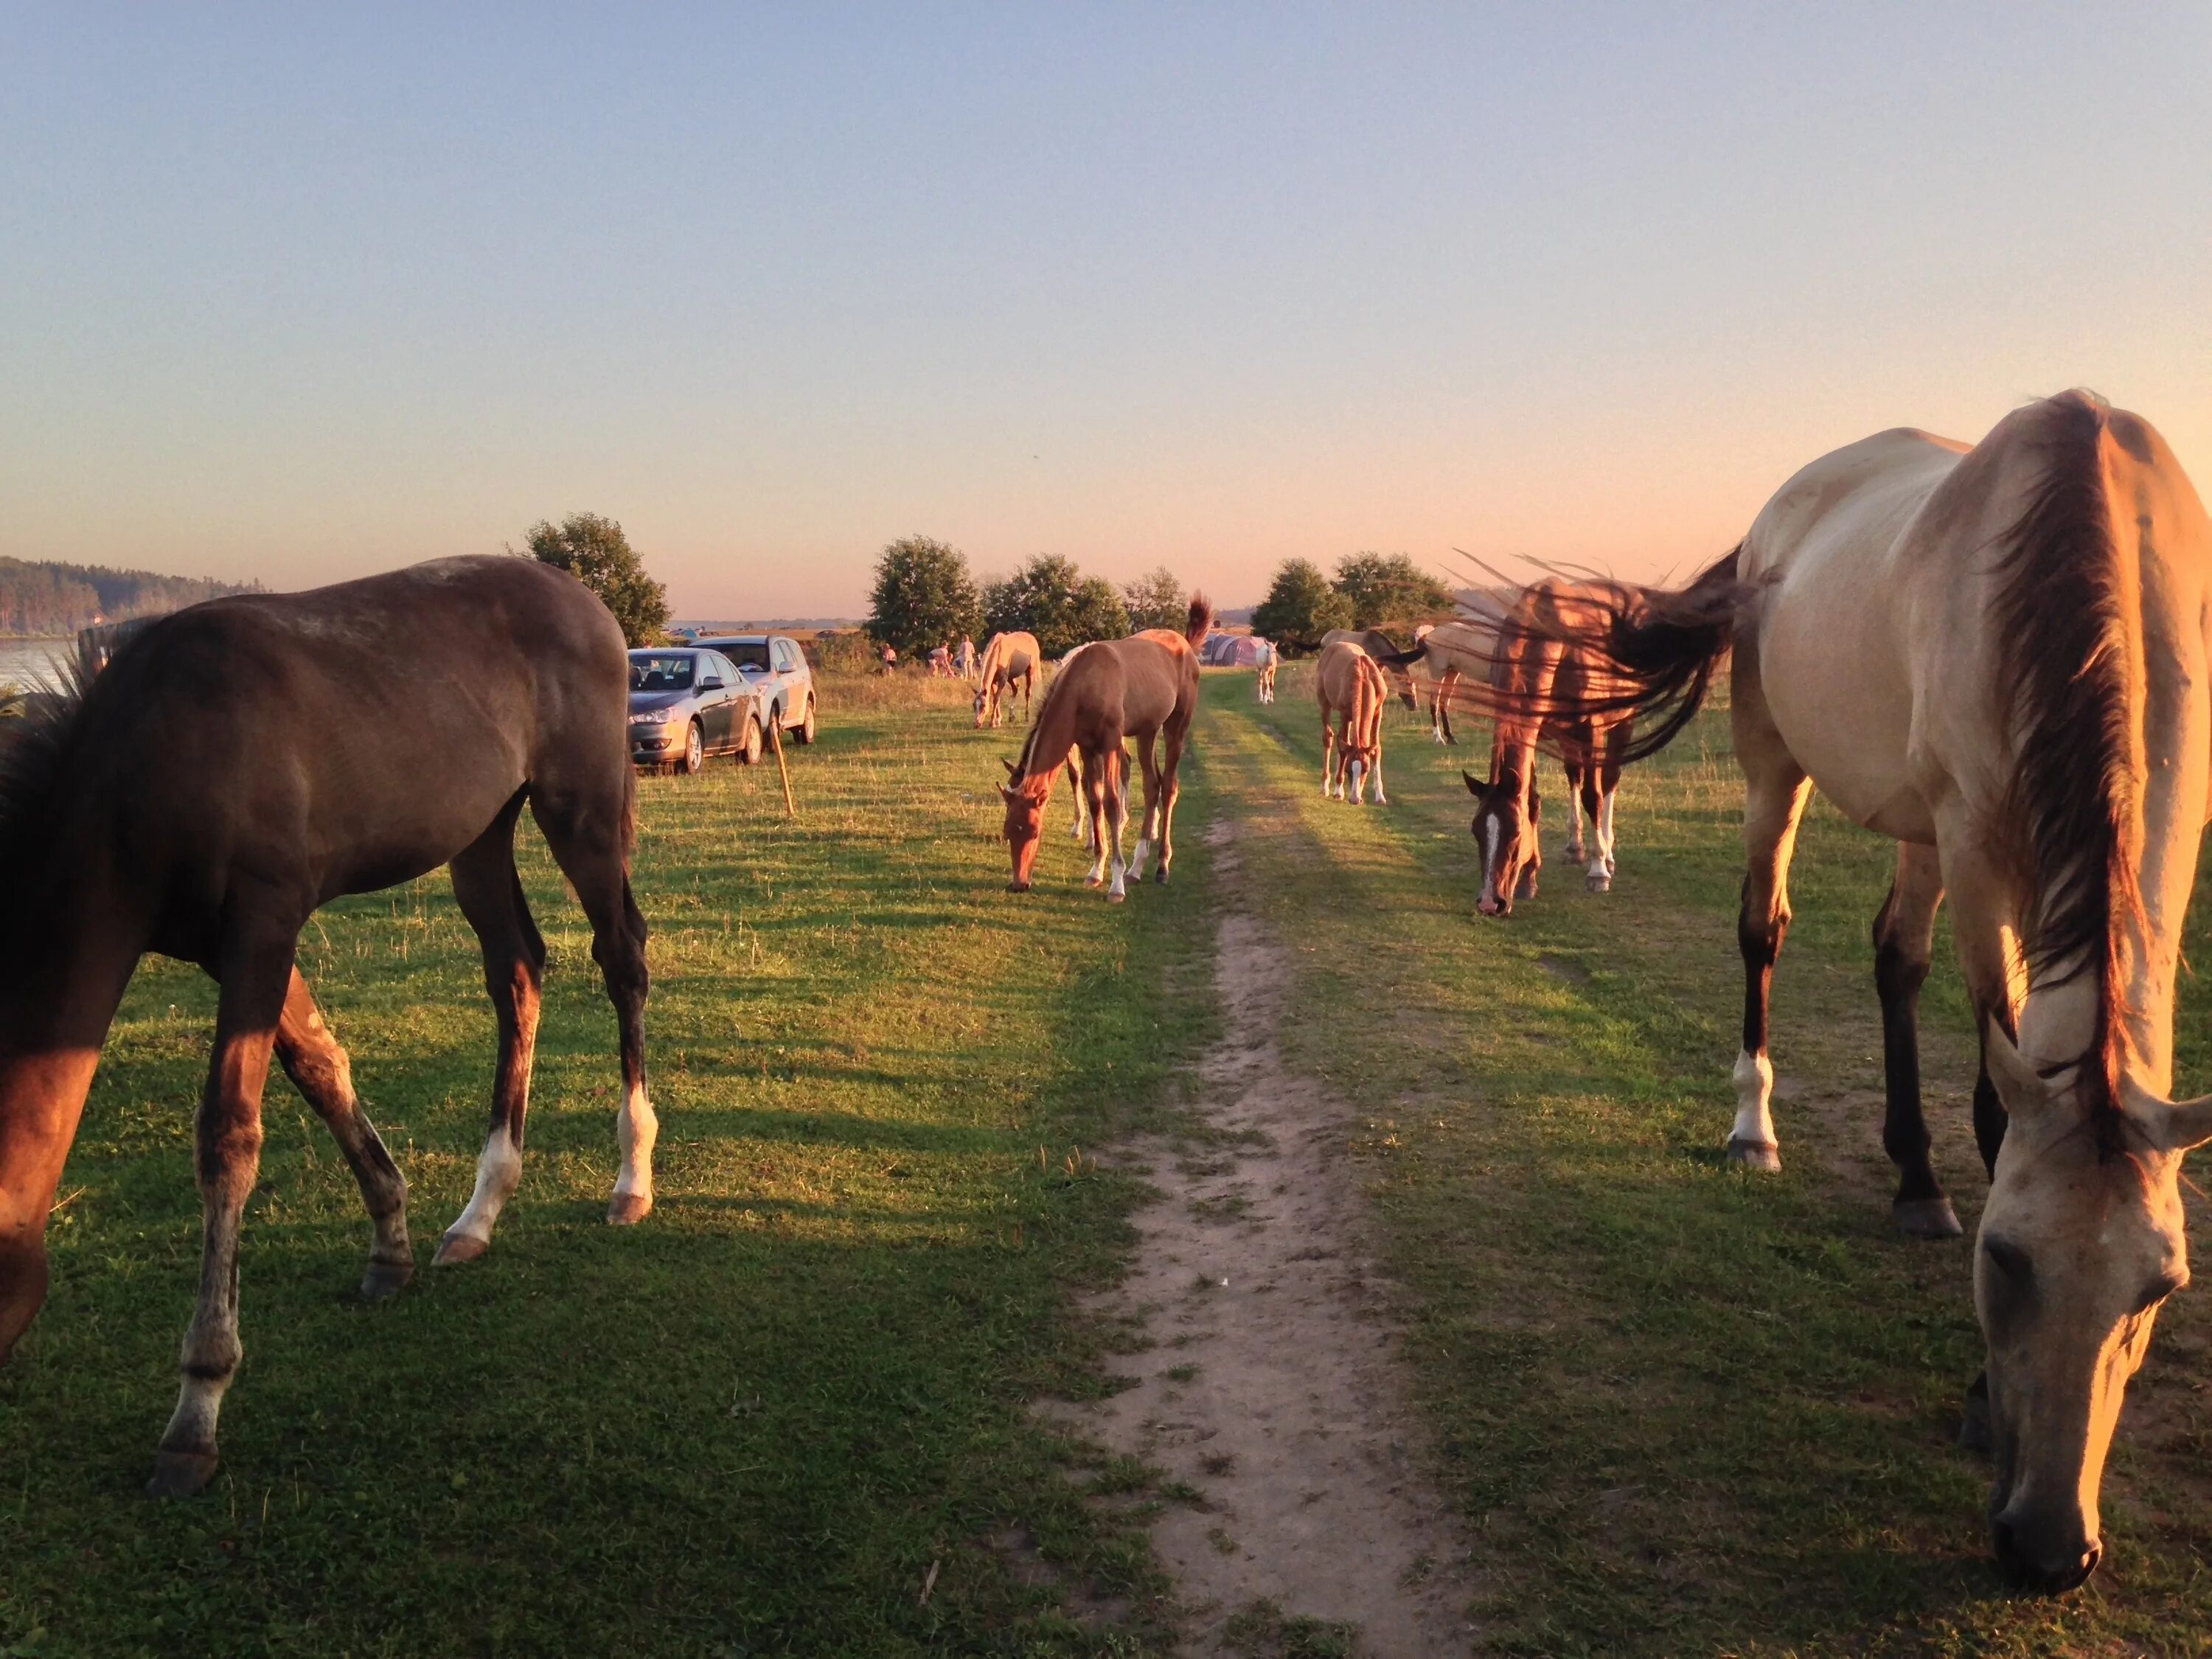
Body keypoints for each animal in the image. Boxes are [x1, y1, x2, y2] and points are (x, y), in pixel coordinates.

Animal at [0, 560, 655, 1504]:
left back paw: (633, 1176)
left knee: (622, 959)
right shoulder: (225, 948)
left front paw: (196, 1412)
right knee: (518, 972)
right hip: (480, 836)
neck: (151, 759)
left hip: (582, 814)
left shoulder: (262, 927)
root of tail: (584, 598)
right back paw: (480, 1210)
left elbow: (230, 1136)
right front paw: (391, 1246)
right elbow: (320, 1069)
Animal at [973, 628, 1040, 726]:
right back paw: (1011, 716)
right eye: (974, 705)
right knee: (1015, 689)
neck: (998, 651)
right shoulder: (994, 681)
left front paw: (992, 722)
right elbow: (997, 699)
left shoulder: (1002, 680)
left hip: (1029, 672)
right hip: (1011, 677)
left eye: (984, 706)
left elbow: (996, 699)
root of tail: (1032, 637)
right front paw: (998, 719)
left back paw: (1027, 717)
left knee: (1027, 692)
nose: (976, 724)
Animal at [1004, 606, 1212, 902]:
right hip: (1147, 732)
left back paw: (1161, 867)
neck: (1087, 684)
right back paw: (1136, 868)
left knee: (1169, 788)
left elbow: (1113, 804)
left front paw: (1116, 884)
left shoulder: (1111, 742)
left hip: (1176, 728)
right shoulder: (1087, 747)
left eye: (1035, 833)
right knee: (1152, 786)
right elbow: (1095, 799)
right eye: (1008, 833)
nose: (1019, 884)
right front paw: (1096, 871)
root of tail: (1185, 644)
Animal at [1318, 641, 1389, 810]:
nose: (1356, 799)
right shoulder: (1345, 714)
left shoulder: (1378, 711)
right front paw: (1339, 791)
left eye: (1366, 769)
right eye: (1348, 769)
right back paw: (1325, 787)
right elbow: (1344, 749)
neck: (1364, 676)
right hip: (1325, 703)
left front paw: (1380, 796)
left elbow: (1376, 748)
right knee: (1329, 738)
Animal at [1486, 394, 2212, 1601]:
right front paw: (1980, 1395)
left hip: (1917, 821)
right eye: (2005, 1259)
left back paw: (1913, 1178)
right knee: (1762, 930)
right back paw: (1755, 1128)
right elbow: (1994, 1104)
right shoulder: (1978, 847)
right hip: (1780, 768)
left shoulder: (2156, 829)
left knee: (1894, 959)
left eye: (2158, 1287)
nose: (2050, 1551)